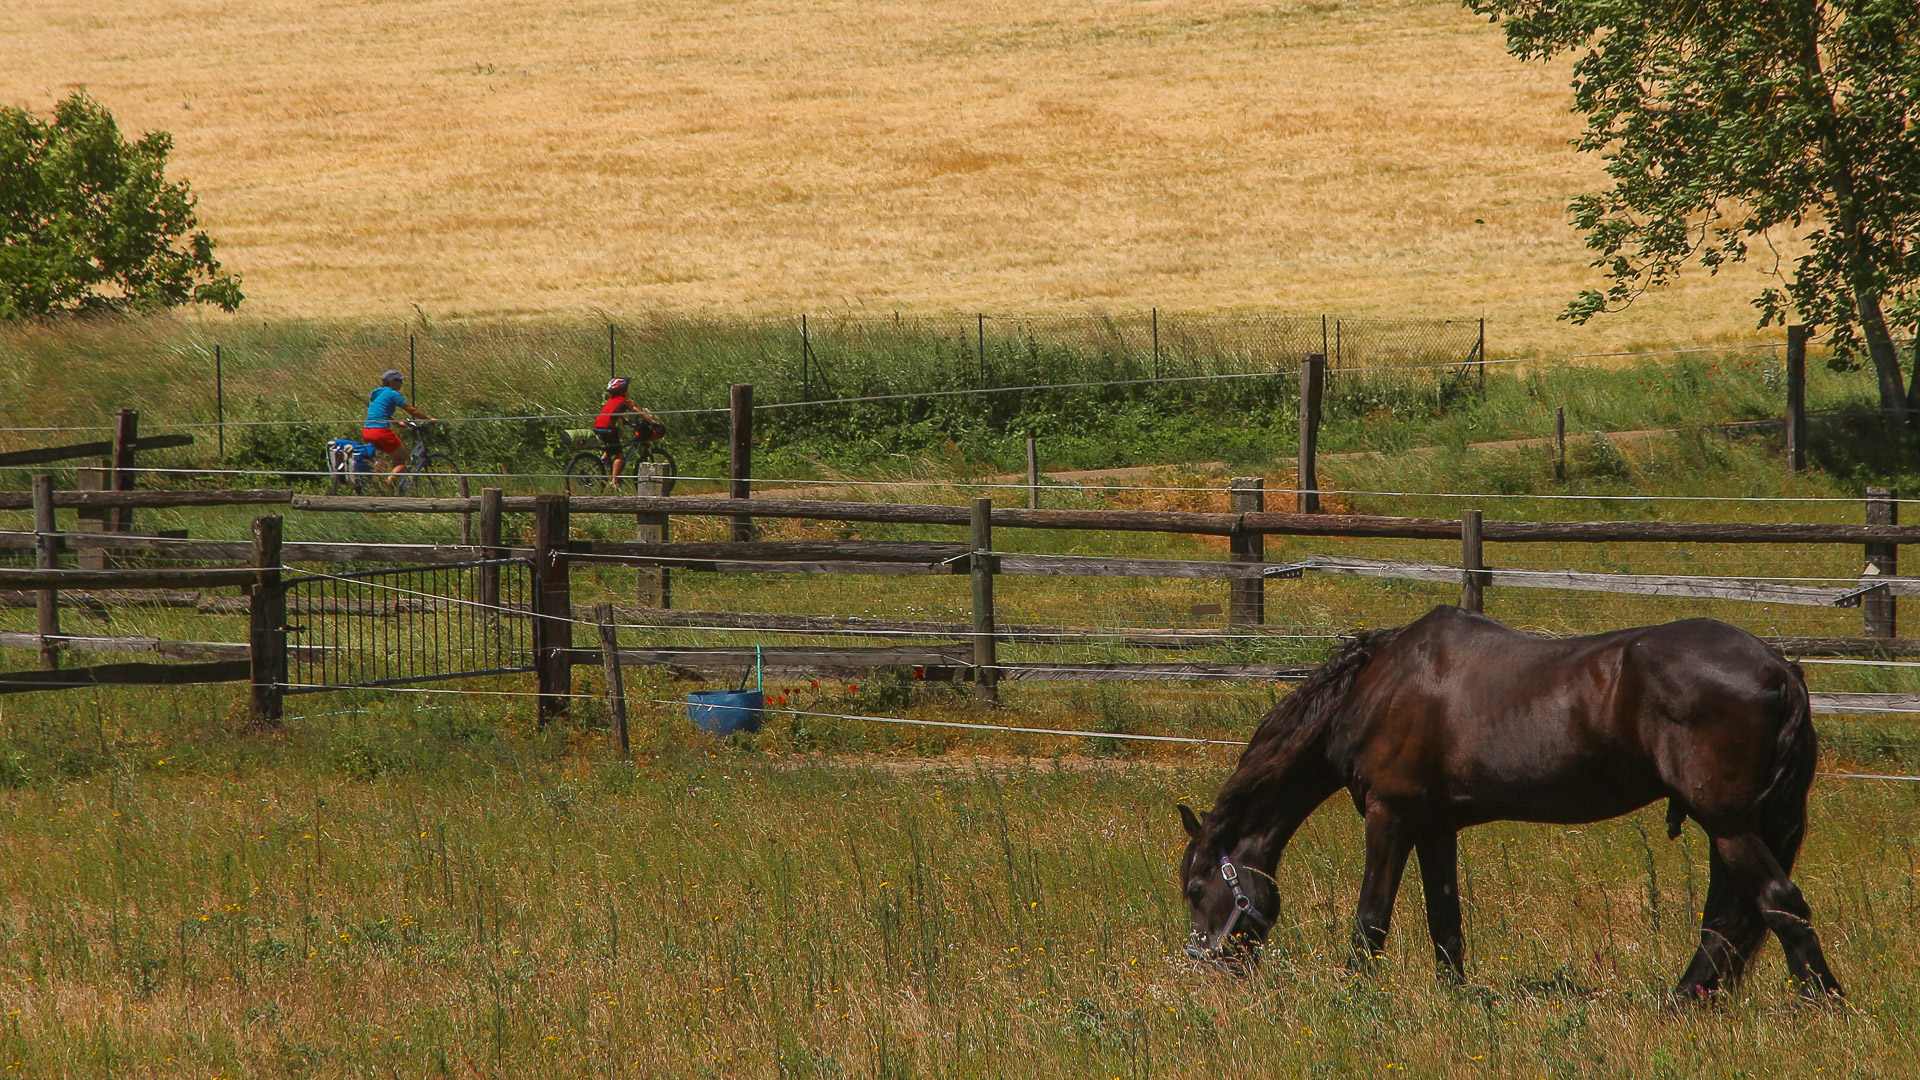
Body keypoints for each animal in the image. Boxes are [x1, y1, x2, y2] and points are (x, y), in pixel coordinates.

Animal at [1175, 599, 1835, 999]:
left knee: (1778, 904)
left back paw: (1822, 1004)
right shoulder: (1433, 827)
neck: (1377, 687)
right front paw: (1454, 999)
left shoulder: (1389, 818)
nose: (1204, 967)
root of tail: (1778, 668)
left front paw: (1353, 995)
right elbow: (1445, 922)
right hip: (1733, 826)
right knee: (1729, 920)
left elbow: (1371, 919)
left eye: (1197, 888)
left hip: (1727, 823)